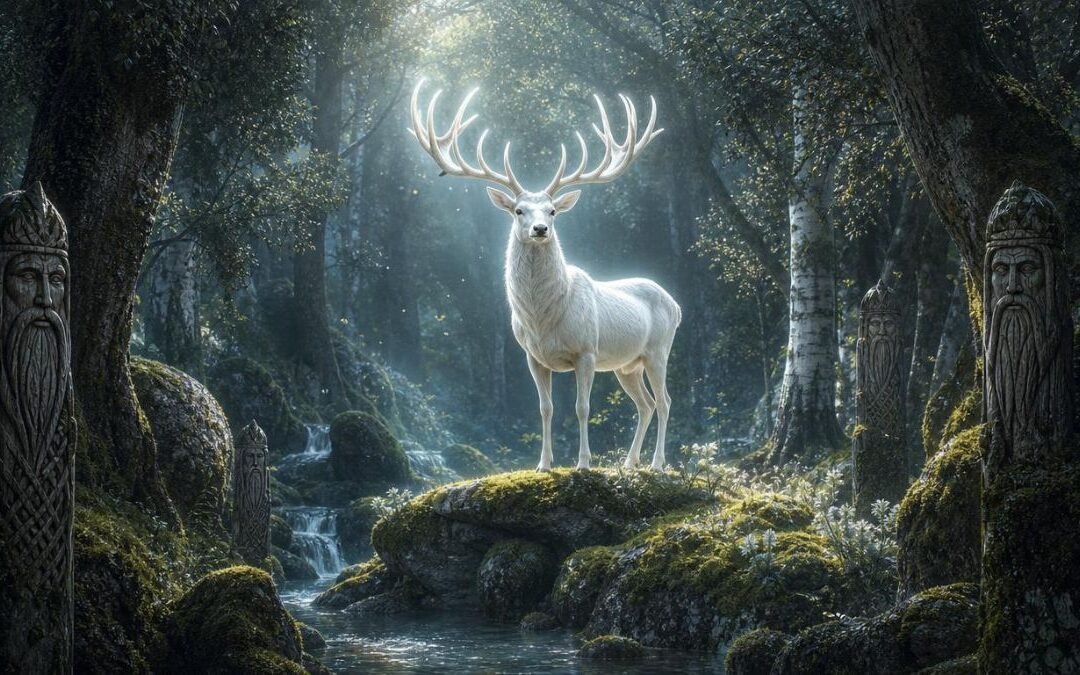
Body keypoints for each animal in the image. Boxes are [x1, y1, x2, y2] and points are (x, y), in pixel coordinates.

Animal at [408, 80, 681, 471]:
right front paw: (543, 463)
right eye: (518, 210)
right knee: (643, 404)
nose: (540, 229)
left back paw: (657, 464)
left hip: (659, 349)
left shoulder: (586, 350)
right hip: (626, 365)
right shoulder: (532, 356)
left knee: (664, 401)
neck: (543, 319)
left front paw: (583, 463)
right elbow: (545, 408)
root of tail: (677, 305)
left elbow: (582, 408)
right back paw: (630, 463)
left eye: (552, 211)